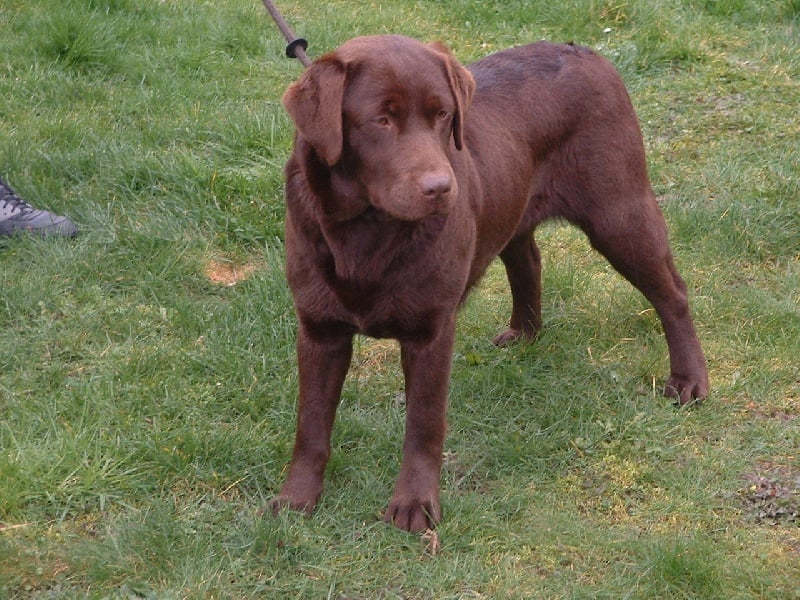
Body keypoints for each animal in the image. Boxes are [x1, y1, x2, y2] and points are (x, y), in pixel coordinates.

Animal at [268, 34, 708, 528]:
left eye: (442, 115)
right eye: (381, 120)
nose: (441, 188)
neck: (366, 230)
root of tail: (583, 49)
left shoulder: (431, 332)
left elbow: (424, 425)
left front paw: (415, 505)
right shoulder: (319, 330)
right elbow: (311, 424)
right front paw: (297, 499)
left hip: (619, 211)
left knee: (673, 292)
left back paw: (689, 379)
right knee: (528, 259)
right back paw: (524, 333)